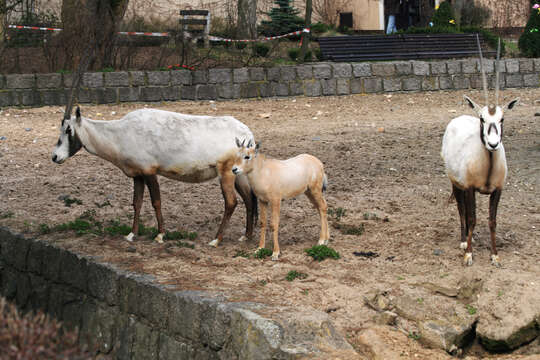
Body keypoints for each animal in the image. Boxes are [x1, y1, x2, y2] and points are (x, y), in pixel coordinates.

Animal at [52, 107, 258, 246]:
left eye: (68, 130)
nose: (55, 157)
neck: (120, 132)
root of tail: (247, 133)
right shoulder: (138, 175)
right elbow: (137, 202)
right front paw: (131, 234)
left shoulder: (149, 172)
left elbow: (156, 201)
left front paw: (160, 235)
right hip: (238, 175)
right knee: (249, 199)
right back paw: (246, 236)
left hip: (225, 173)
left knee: (231, 202)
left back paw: (216, 240)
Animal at [442, 37, 520, 268]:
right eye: (482, 118)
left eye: (502, 119)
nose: (493, 144)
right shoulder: (469, 188)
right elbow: (471, 217)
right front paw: (468, 254)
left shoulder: (497, 190)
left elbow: (492, 221)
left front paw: (495, 256)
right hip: (456, 184)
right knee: (462, 210)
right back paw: (463, 241)